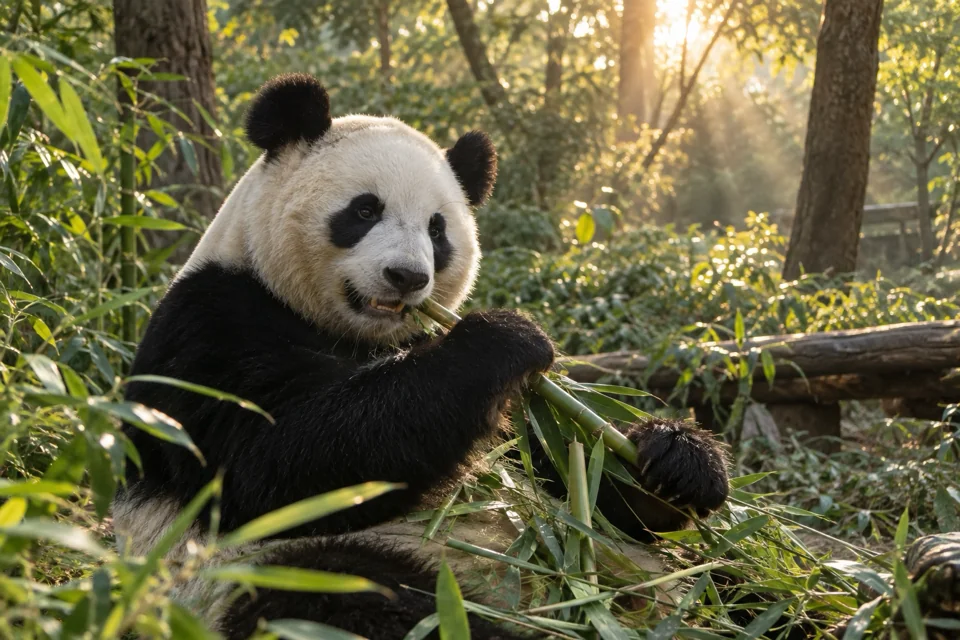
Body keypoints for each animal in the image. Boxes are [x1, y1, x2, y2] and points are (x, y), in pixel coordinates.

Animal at [112, 73, 730, 639]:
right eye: (364, 211)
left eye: (438, 230)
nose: (407, 277)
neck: (356, 335)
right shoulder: (209, 326)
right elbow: (276, 465)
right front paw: (506, 337)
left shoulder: (502, 414)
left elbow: (581, 479)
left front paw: (677, 458)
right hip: (277, 575)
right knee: (351, 597)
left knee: (724, 580)